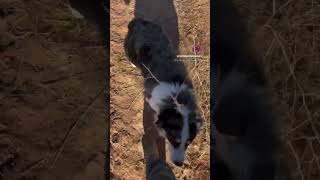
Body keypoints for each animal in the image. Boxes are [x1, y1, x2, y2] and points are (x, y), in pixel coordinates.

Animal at [124, 17, 202, 166]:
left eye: (188, 143)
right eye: (174, 140)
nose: (178, 164)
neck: (176, 99)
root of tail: (139, 22)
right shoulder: (150, 97)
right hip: (130, 49)